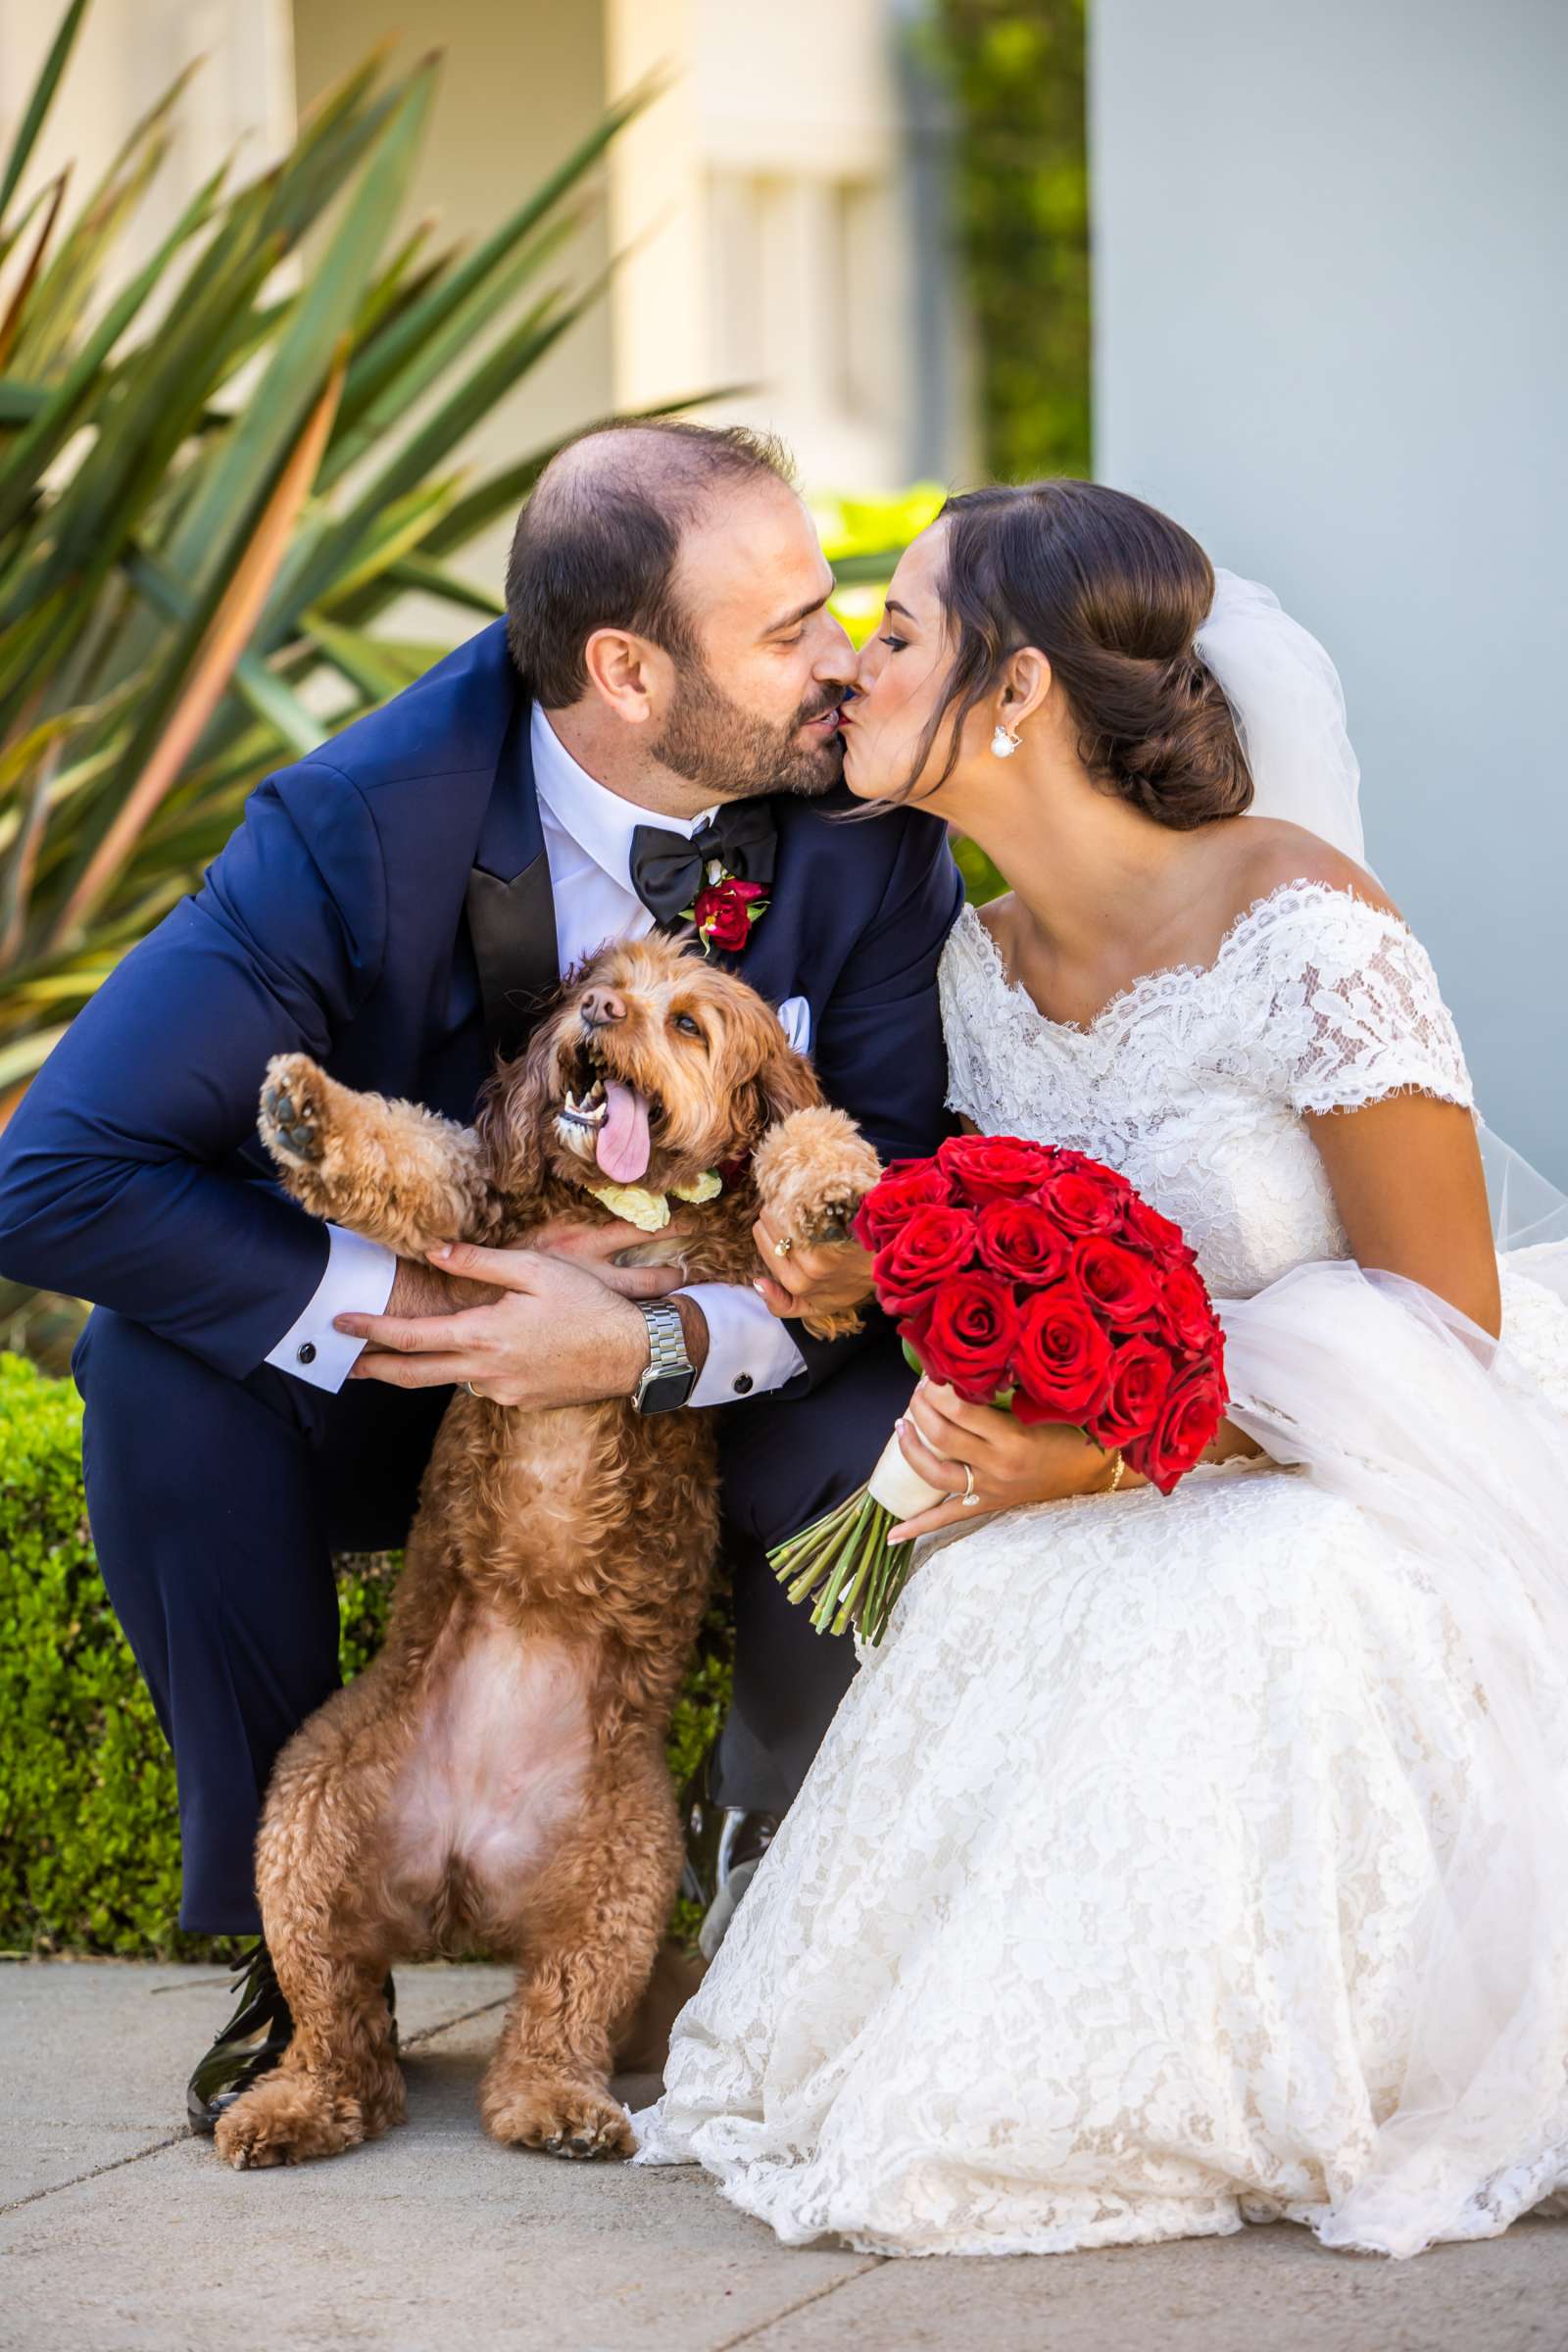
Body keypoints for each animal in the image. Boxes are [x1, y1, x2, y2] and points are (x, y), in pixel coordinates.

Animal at [208, 926, 879, 2173]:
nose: (599, 1017)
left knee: (553, 2021)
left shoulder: (765, 1287)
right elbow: (410, 1152)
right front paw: (308, 1117)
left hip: (622, 1871)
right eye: (594, 989)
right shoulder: (479, 1211)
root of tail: (462, 1886)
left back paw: (558, 2108)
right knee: (342, 2028)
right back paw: (290, 2103)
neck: (635, 1206)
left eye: (687, 1022)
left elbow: (805, 1141)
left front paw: (834, 1195)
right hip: (305, 1829)